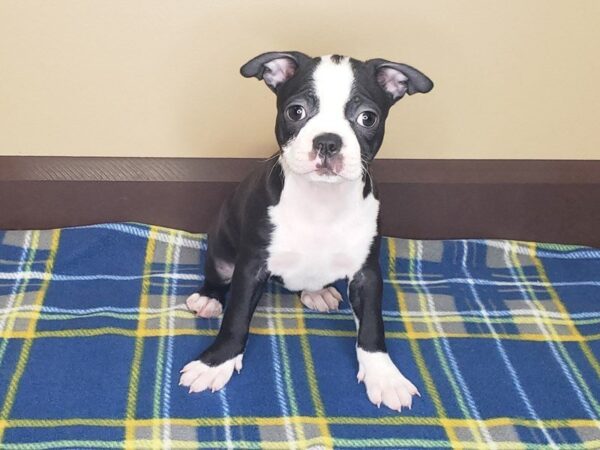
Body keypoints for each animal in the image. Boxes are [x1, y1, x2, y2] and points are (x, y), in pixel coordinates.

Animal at [178, 51, 432, 410]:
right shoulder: (251, 267)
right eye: (296, 111)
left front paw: (384, 376)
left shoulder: (367, 274)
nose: (327, 142)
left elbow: (372, 325)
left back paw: (317, 291)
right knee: (217, 277)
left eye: (367, 118)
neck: (321, 202)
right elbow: (236, 317)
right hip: (222, 250)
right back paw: (208, 298)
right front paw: (215, 363)